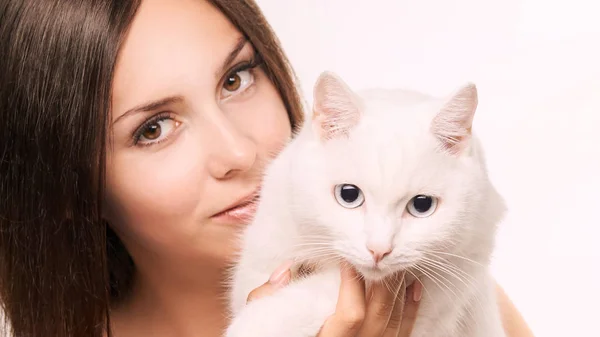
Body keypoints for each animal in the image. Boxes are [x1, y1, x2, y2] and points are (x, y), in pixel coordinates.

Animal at [225, 71, 506, 336]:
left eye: (422, 205)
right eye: (349, 195)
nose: (379, 250)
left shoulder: (453, 276)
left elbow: (320, 293)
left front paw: (259, 323)